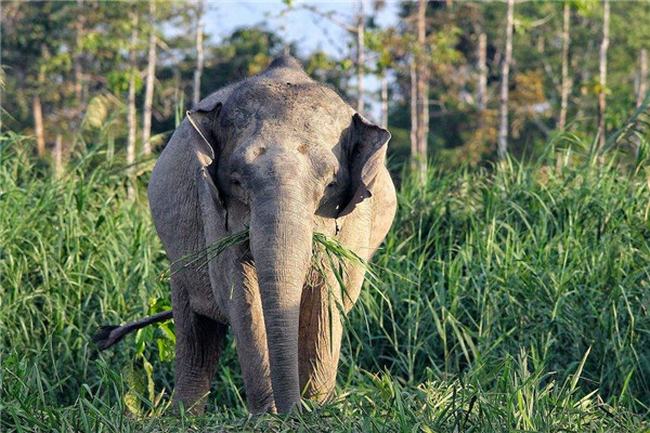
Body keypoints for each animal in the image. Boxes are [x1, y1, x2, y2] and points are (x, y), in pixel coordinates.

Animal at [100, 55, 394, 414]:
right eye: (238, 180)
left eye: (330, 185)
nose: (293, 413)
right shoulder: (213, 209)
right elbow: (239, 292)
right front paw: (269, 416)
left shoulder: (350, 226)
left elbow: (326, 299)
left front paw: (319, 410)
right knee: (195, 331)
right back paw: (184, 416)